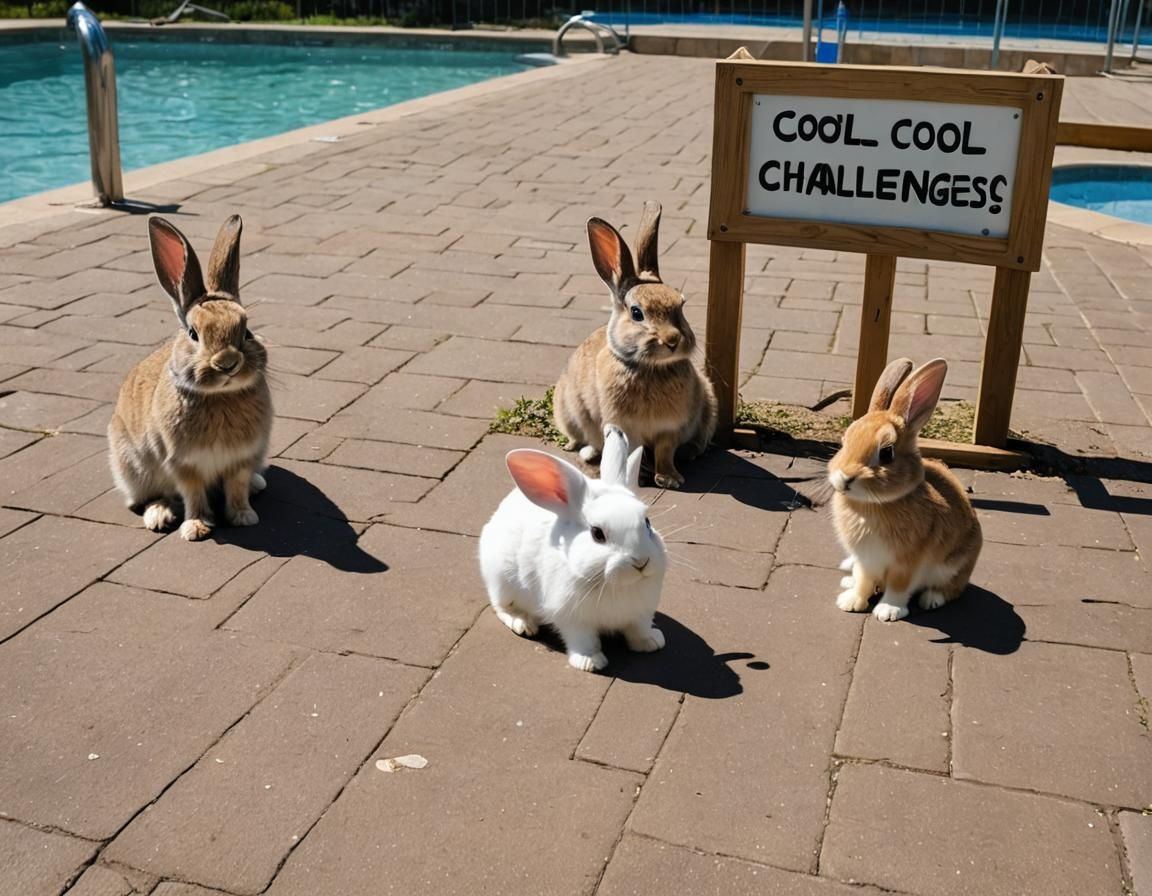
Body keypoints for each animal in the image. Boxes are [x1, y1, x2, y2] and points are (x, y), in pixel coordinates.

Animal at [107, 215, 272, 542]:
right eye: (194, 334)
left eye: (246, 331)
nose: (227, 364)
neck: (221, 397)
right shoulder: (183, 464)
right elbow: (193, 494)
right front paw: (195, 528)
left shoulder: (241, 460)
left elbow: (236, 488)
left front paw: (244, 517)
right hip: (134, 468)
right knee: (152, 496)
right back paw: (158, 517)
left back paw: (257, 484)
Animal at [478, 424, 667, 672]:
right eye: (597, 534)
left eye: (647, 522)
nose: (641, 561)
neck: (615, 585)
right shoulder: (572, 619)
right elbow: (583, 641)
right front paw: (590, 663)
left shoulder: (641, 613)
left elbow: (639, 630)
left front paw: (652, 643)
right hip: (501, 582)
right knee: (501, 607)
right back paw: (524, 624)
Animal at [553, 200, 717, 490]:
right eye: (637, 313)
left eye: (681, 305)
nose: (672, 340)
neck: (649, 367)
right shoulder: (623, 426)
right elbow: (630, 452)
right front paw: (639, 476)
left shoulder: (670, 429)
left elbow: (665, 451)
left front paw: (670, 479)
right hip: (568, 411)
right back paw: (584, 450)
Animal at [827, 358, 982, 622]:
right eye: (844, 441)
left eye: (887, 452)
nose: (843, 479)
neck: (871, 504)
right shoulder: (865, 559)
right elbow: (863, 581)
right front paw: (851, 602)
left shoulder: (907, 561)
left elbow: (899, 586)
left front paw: (888, 612)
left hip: (956, 566)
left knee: (951, 588)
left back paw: (932, 599)